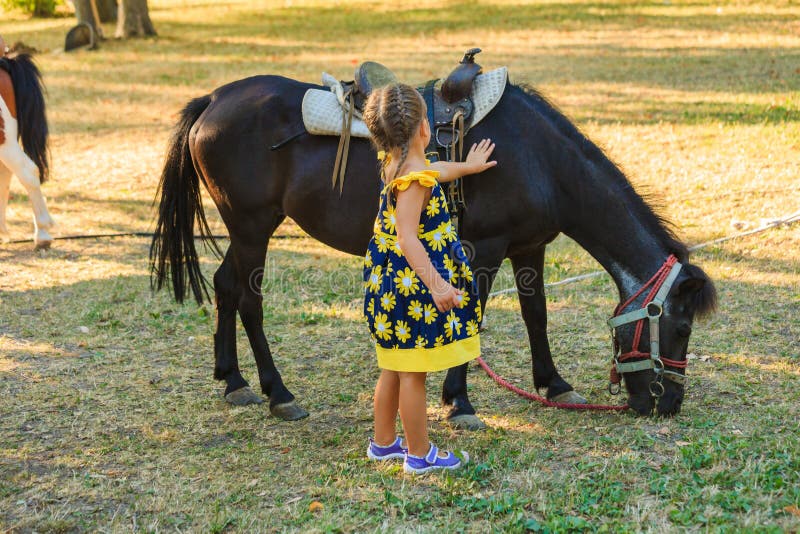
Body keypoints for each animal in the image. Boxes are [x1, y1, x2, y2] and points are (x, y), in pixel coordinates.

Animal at [152, 76, 720, 428]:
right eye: (682, 327)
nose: (669, 403)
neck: (539, 158)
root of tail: (214, 99)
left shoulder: (529, 249)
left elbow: (536, 315)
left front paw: (554, 385)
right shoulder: (486, 248)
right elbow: (474, 315)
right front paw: (460, 401)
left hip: (246, 231)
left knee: (225, 286)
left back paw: (234, 381)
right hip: (253, 228)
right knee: (249, 299)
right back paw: (278, 393)